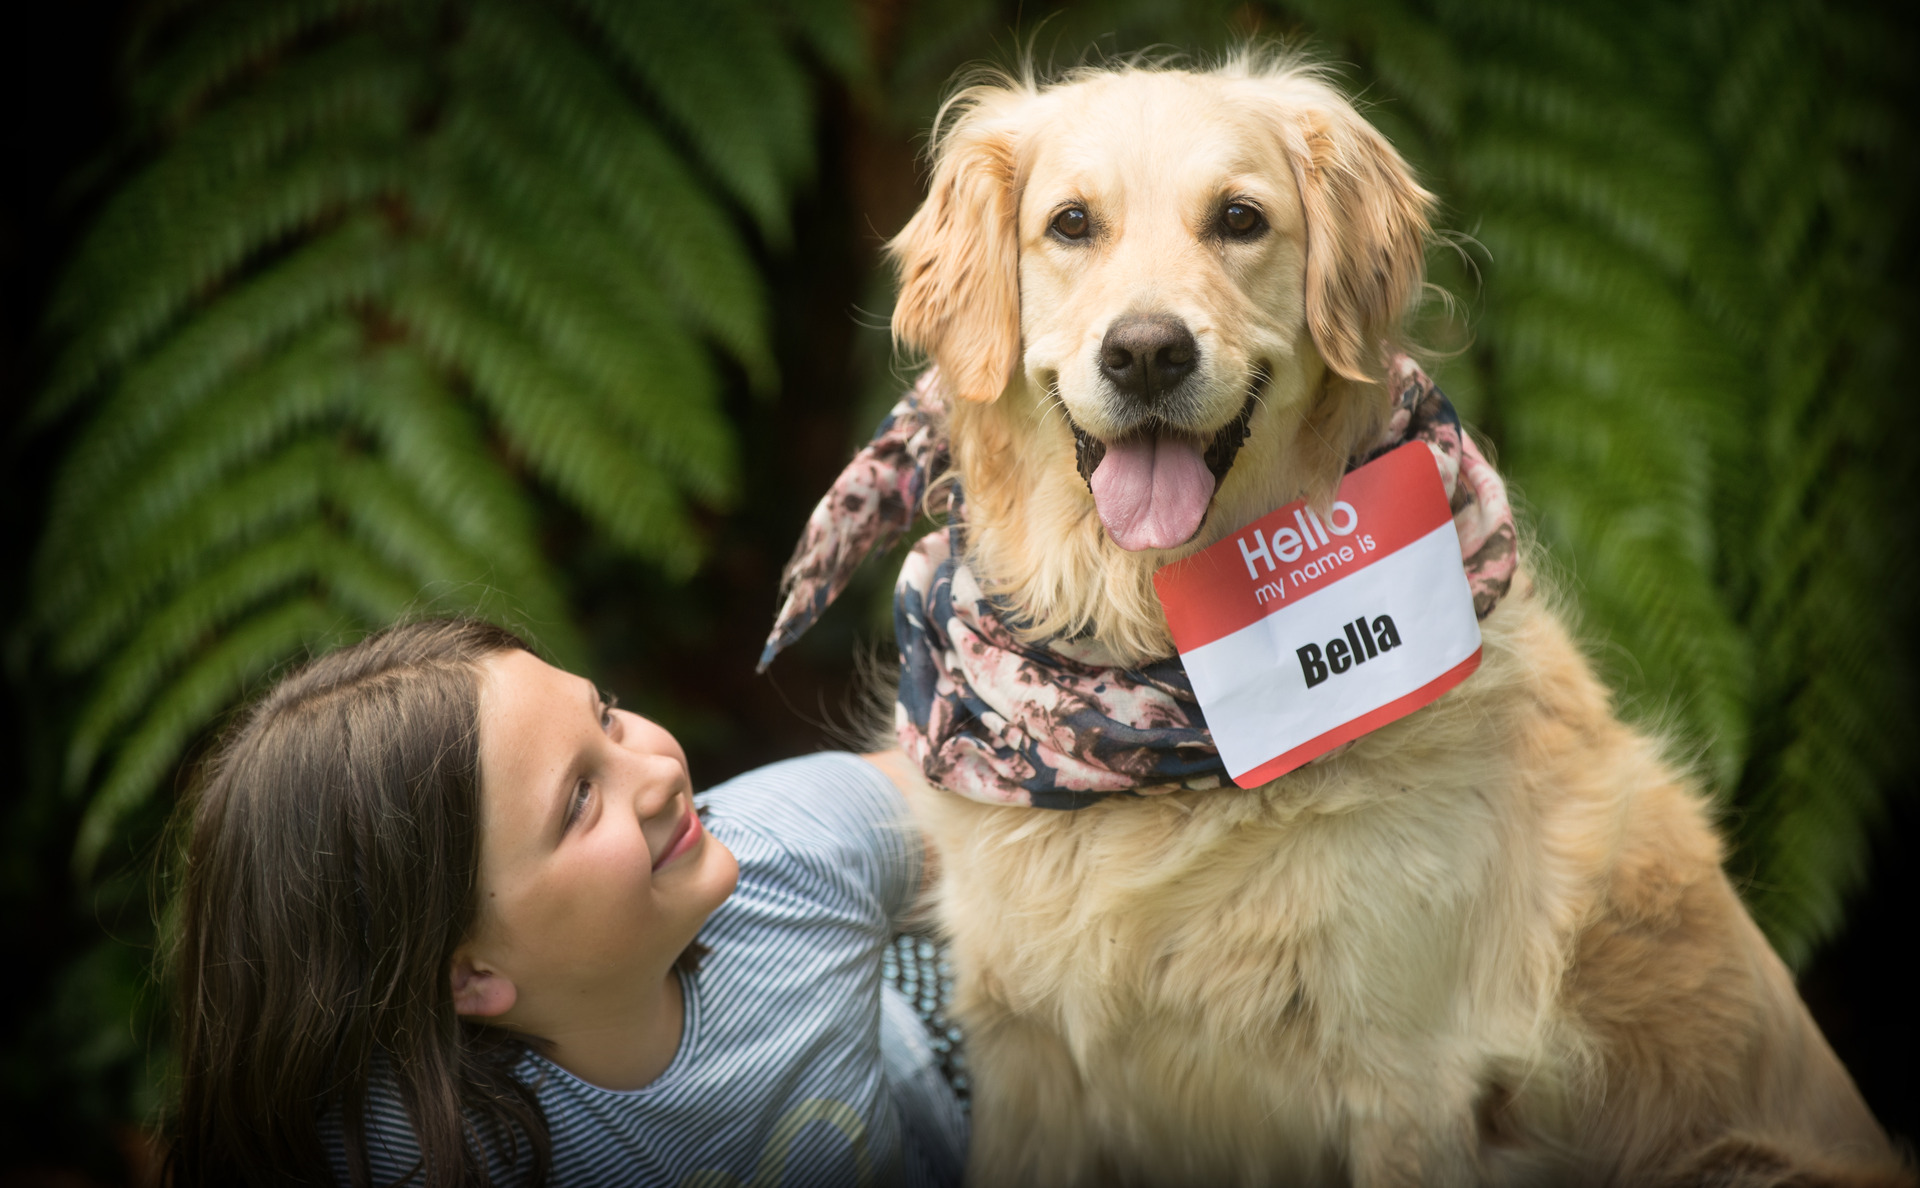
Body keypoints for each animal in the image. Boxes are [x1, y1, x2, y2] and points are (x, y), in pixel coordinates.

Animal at [879, 51, 1904, 1182]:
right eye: (1070, 224)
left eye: (1239, 218)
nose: (1146, 353)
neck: (1159, 667)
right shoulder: (1023, 1050)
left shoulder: (1406, 1077)